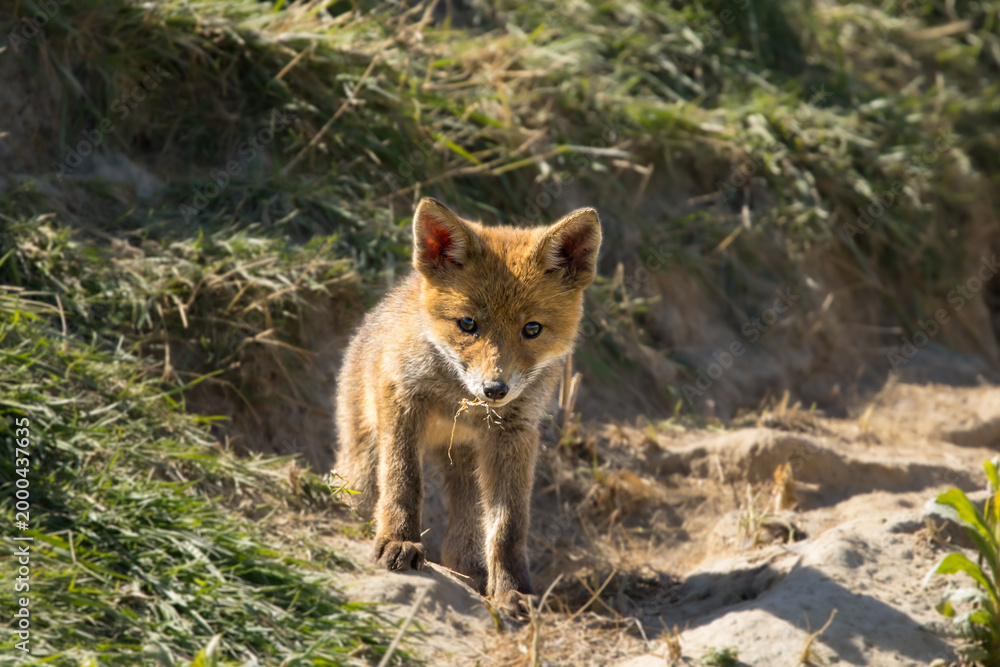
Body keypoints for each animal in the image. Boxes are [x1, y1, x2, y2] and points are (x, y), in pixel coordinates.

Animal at [334, 197, 601, 614]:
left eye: (532, 329)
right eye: (467, 324)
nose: (495, 389)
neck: (457, 398)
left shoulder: (514, 433)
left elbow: (508, 527)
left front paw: (512, 591)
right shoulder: (402, 397)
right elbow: (403, 481)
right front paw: (398, 540)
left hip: (467, 464)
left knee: (466, 535)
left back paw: (472, 576)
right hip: (362, 455)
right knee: (360, 489)